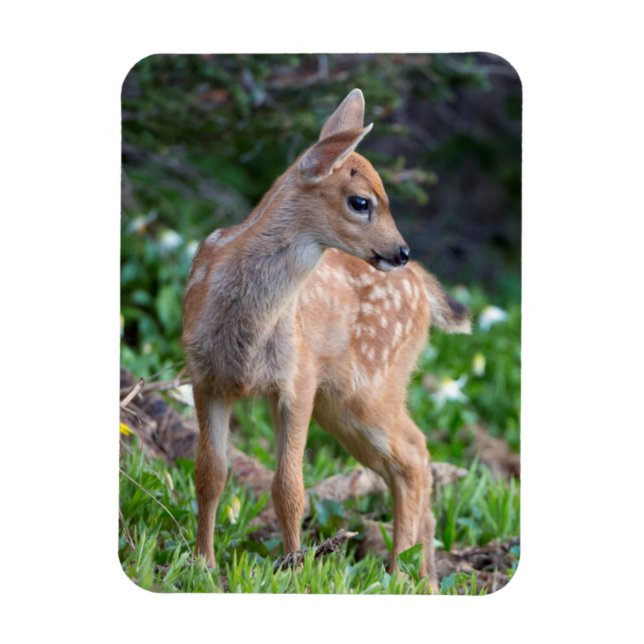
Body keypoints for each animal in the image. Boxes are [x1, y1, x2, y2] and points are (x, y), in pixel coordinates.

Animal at [182, 88, 471, 591]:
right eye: (361, 202)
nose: (401, 250)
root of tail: (422, 284)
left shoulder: (297, 379)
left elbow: (289, 487)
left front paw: (294, 570)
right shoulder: (206, 378)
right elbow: (210, 475)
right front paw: (204, 565)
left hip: (370, 386)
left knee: (413, 457)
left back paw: (398, 573)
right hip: (344, 404)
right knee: (411, 458)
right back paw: (424, 576)